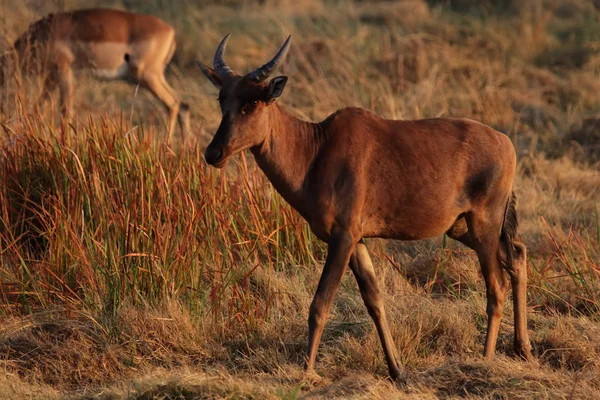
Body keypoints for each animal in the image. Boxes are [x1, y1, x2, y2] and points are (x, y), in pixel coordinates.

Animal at [0, 7, 190, 141]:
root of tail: (170, 31)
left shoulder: (64, 72)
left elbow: (66, 110)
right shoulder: (51, 77)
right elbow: (39, 107)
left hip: (147, 76)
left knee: (173, 104)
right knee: (183, 104)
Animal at [197, 35, 536, 382]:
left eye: (252, 103)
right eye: (222, 99)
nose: (214, 153)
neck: (316, 149)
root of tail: (507, 143)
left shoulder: (342, 238)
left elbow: (320, 304)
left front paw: (306, 372)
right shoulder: (357, 240)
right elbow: (374, 301)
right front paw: (397, 370)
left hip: (484, 225)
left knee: (497, 286)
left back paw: (485, 360)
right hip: (462, 227)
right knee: (518, 255)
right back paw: (522, 348)